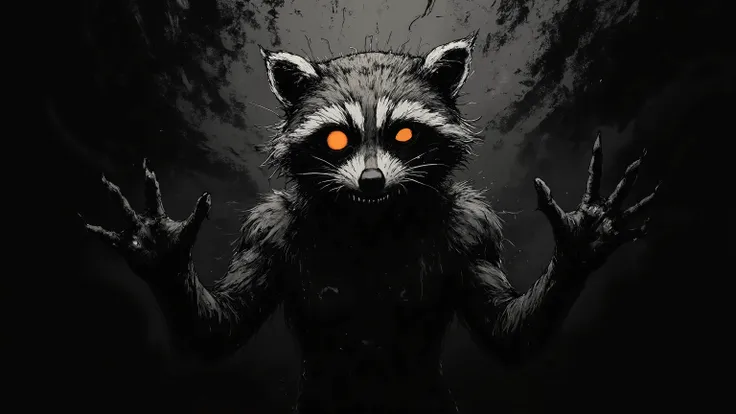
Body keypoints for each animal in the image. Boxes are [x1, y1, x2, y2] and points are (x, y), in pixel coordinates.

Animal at [84, 32, 657, 414]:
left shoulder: (469, 229)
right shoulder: (269, 230)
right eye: (338, 138)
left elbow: (505, 331)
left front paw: (580, 245)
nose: (372, 179)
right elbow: (221, 328)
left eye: (403, 134)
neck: (372, 221)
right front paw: (163, 255)